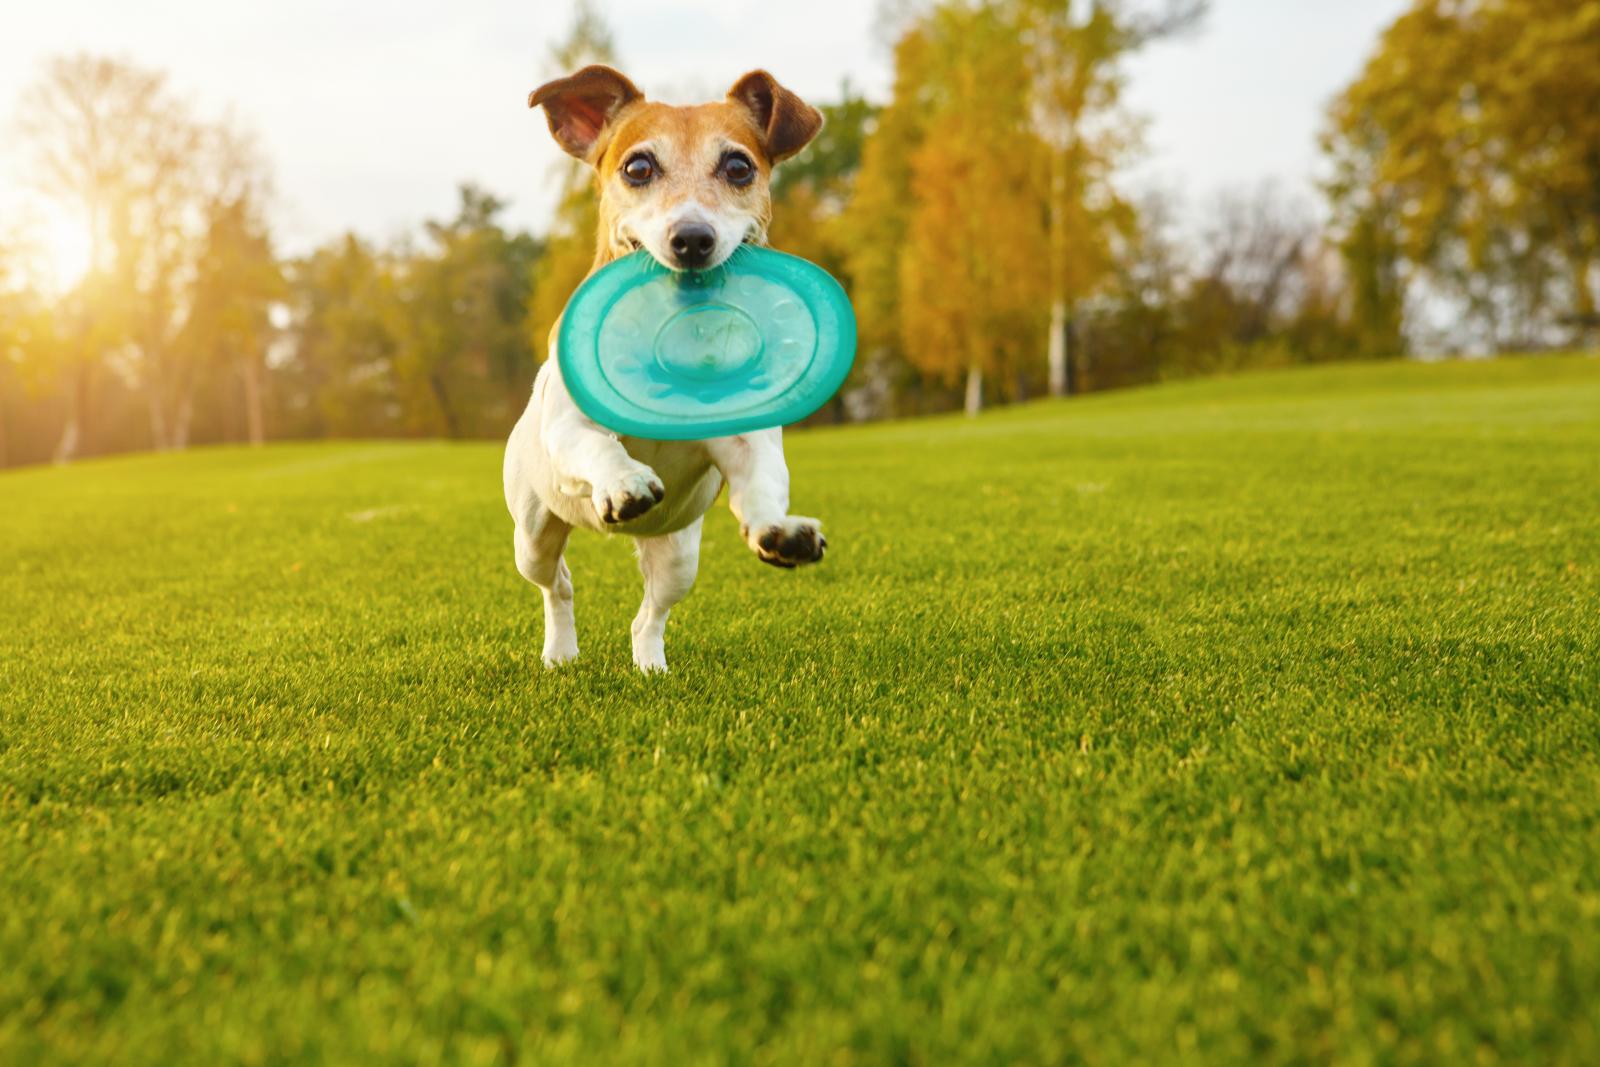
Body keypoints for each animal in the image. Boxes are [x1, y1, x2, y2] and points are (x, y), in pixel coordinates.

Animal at [499, 66, 825, 671]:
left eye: (739, 167)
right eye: (638, 167)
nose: (692, 239)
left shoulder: (747, 437)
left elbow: (764, 479)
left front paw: (779, 530)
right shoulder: (569, 428)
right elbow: (597, 445)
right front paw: (624, 480)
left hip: (678, 557)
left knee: (647, 614)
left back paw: (650, 664)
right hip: (532, 534)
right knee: (557, 585)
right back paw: (561, 650)